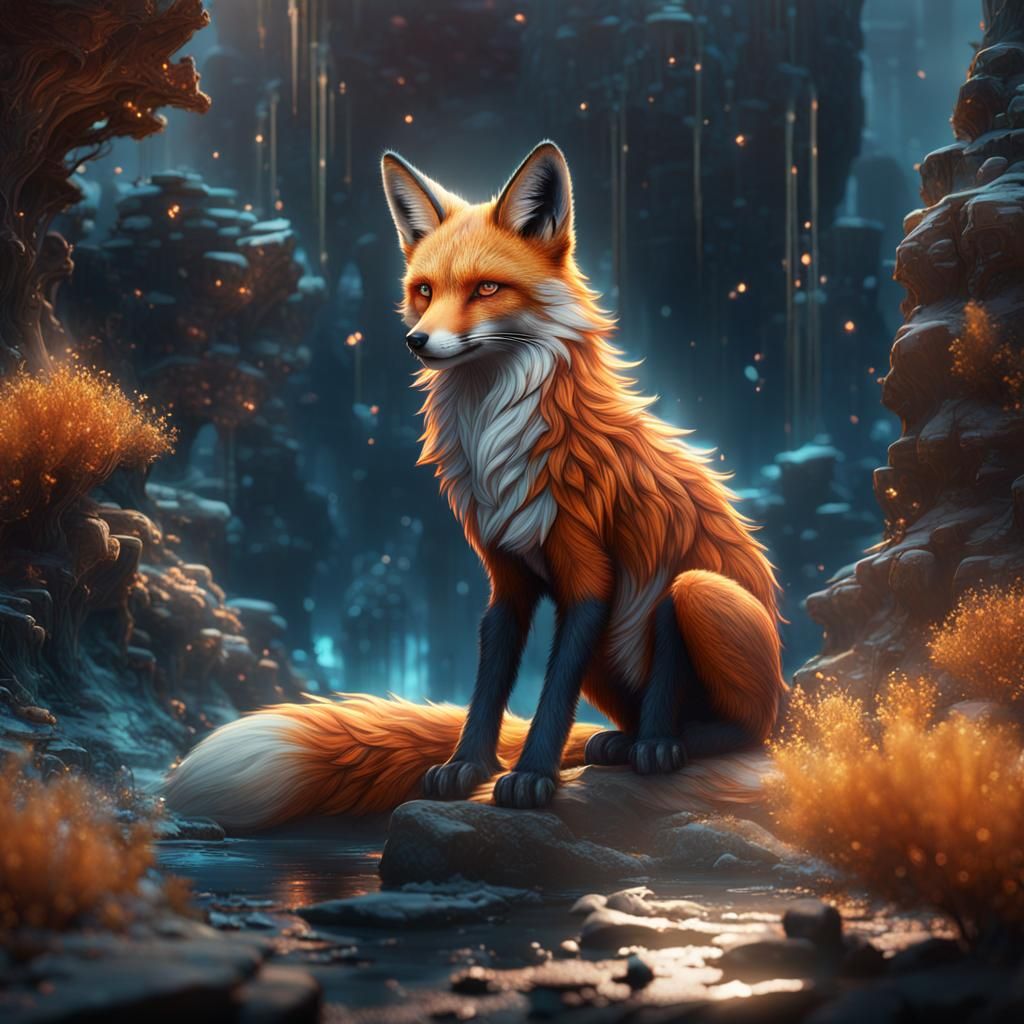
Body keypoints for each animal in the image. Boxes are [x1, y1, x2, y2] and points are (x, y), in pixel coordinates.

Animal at [164, 141, 786, 830]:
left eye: (486, 288)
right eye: (424, 290)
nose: (417, 341)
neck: (499, 447)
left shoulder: (588, 580)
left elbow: (551, 696)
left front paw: (532, 777)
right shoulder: (506, 580)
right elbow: (489, 685)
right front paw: (467, 768)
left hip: (698, 595)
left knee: (734, 715)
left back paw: (665, 745)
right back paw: (621, 743)